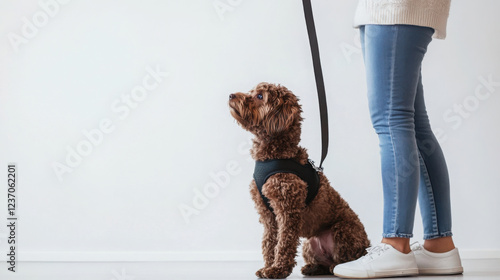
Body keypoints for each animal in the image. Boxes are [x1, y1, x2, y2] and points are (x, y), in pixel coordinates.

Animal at [229, 82, 370, 278]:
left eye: (259, 96)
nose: (231, 95)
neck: (274, 155)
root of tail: (367, 246)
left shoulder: (288, 210)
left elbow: (283, 243)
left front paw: (278, 270)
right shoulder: (268, 215)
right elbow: (269, 242)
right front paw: (267, 267)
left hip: (343, 230)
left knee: (345, 259)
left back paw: (340, 268)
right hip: (309, 243)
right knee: (323, 263)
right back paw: (313, 268)